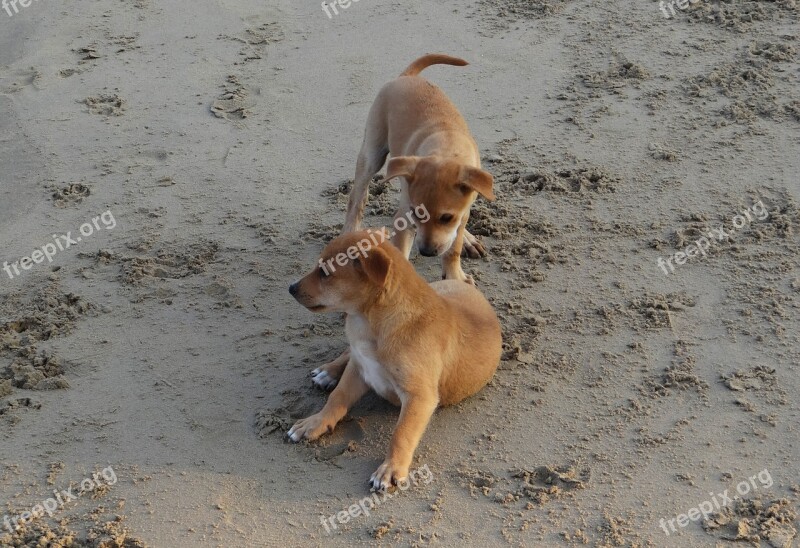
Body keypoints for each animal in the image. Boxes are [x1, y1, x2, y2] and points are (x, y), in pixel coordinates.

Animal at [288, 229, 500, 490]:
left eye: (325, 272)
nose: (291, 288)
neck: (371, 322)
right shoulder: (360, 367)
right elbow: (337, 397)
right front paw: (315, 422)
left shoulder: (419, 397)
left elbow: (402, 433)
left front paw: (391, 468)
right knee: (347, 352)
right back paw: (328, 372)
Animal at [342, 52, 494, 284]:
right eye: (416, 213)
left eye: (446, 217)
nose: (426, 252)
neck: (447, 147)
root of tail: (407, 76)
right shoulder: (405, 216)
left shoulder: (461, 214)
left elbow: (453, 248)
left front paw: (455, 275)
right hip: (372, 152)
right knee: (357, 198)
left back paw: (468, 239)